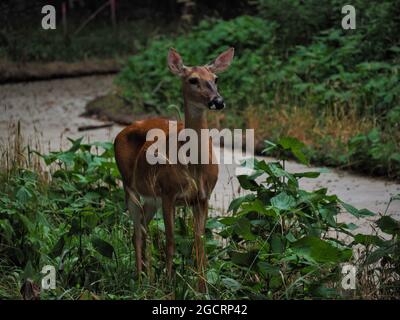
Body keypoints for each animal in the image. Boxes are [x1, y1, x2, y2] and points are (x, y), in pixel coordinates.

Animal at [113, 47, 234, 292]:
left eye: (216, 78)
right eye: (193, 80)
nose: (218, 101)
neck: (194, 167)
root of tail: (122, 131)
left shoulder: (202, 198)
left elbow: (199, 241)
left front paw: (202, 288)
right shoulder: (169, 193)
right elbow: (170, 240)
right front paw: (170, 285)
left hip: (151, 198)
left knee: (142, 228)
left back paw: (147, 278)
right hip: (130, 187)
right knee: (137, 232)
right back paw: (140, 281)